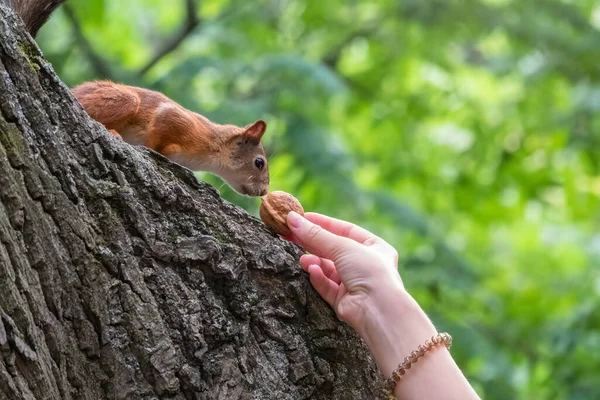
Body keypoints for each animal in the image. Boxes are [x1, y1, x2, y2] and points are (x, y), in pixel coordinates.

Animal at [9, 0, 270, 197]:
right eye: (259, 162)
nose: (265, 192)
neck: (212, 147)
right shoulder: (176, 119)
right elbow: (158, 132)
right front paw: (153, 150)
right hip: (124, 99)